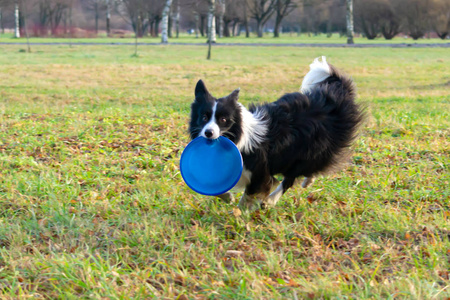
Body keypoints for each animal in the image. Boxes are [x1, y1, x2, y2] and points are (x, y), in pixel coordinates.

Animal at [188, 56, 364, 211]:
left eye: (223, 120)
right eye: (204, 117)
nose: (208, 133)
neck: (239, 134)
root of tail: (333, 100)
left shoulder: (260, 172)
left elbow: (250, 194)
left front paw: (239, 214)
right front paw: (228, 198)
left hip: (308, 150)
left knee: (294, 176)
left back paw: (272, 200)